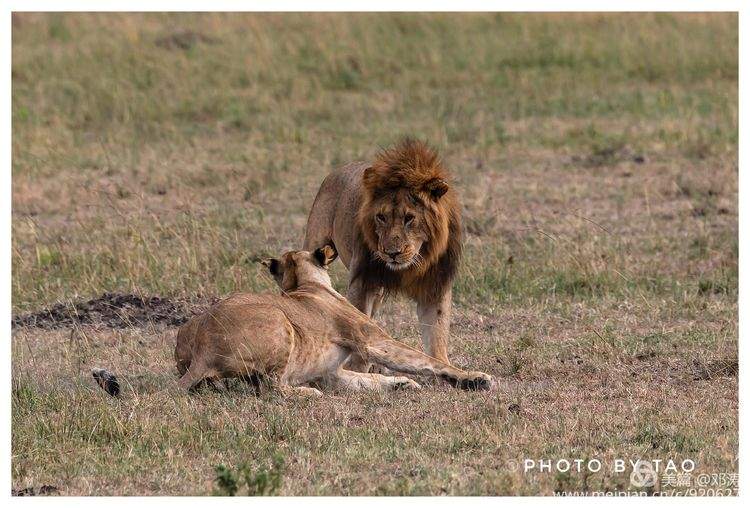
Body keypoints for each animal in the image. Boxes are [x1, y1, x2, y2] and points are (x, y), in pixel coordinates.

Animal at [174, 245, 496, 392]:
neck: (304, 284)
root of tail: (203, 348)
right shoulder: (372, 340)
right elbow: (428, 361)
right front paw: (476, 378)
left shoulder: (332, 373)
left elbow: (367, 379)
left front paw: (401, 384)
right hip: (282, 322)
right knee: (271, 387)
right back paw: (307, 394)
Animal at [304, 137, 458, 364]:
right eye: (381, 217)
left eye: (409, 218)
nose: (391, 253)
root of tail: (340, 169)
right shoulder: (362, 282)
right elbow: (360, 326)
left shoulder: (435, 286)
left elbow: (437, 335)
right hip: (315, 244)